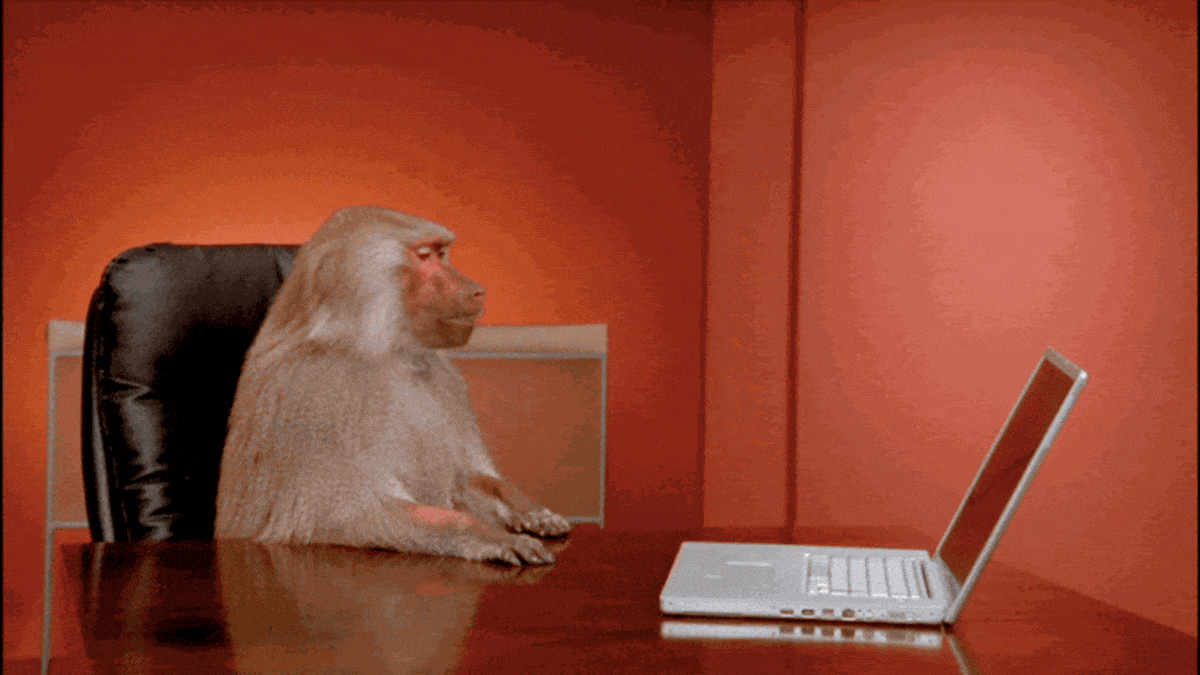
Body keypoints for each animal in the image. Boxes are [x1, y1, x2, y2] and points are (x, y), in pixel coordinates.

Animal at [215, 206, 572, 565]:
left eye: (442, 254)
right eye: (426, 256)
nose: (477, 290)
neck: (383, 351)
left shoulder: (443, 379)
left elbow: (464, 479)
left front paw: (530, 510)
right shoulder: (324, 397)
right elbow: (345, 515)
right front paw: (488, 536)